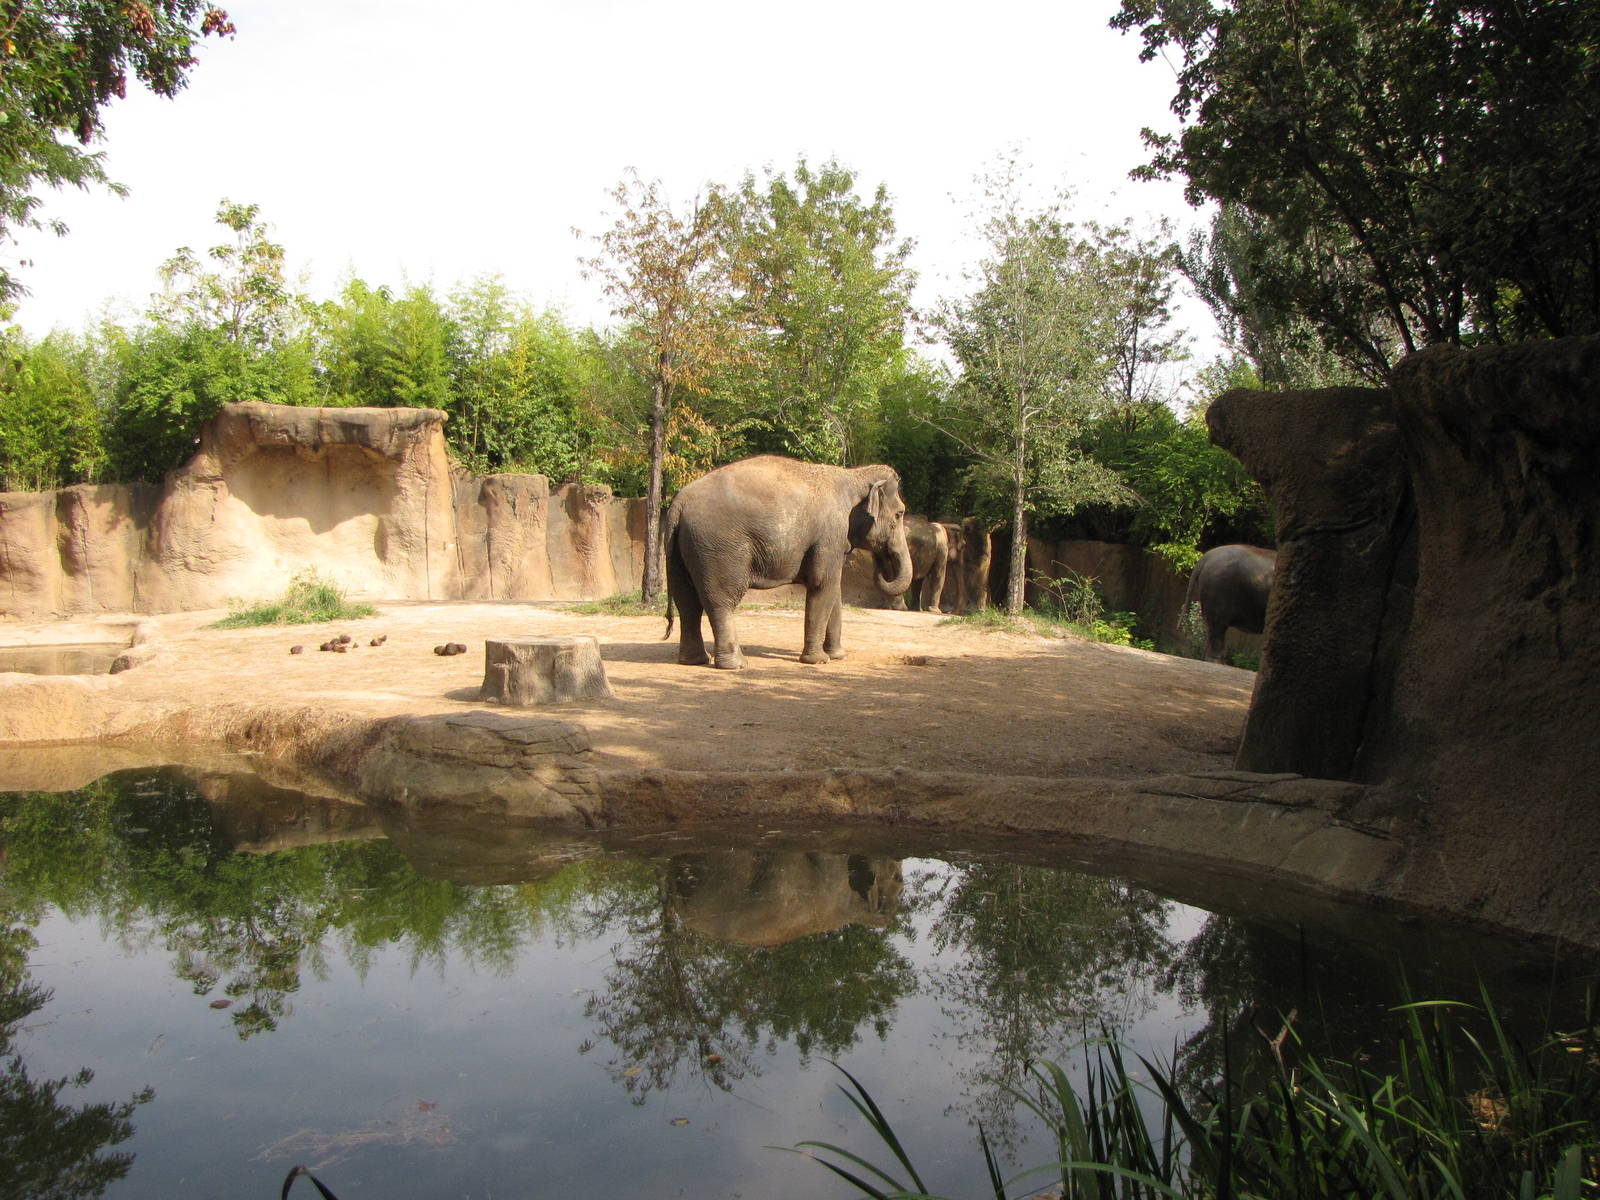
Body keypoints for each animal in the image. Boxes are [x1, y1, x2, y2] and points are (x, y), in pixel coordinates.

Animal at [664, 455, 914, 669]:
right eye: (900, 514)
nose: (881, 562)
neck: (854, 475)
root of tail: (679, 503)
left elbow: (834, 590)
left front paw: (837, 656)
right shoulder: (830, 532)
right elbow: (823, 584)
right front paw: (818, 660)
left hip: (680, 548)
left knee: (687, 602)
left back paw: (694, 660)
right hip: (719, 547)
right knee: (721, 601)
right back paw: (736, 665)